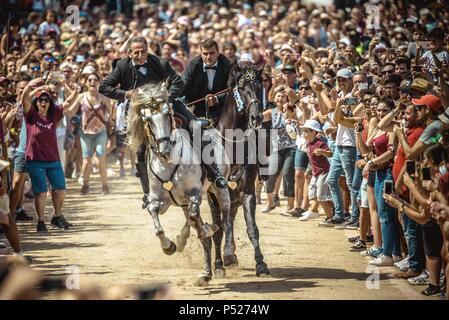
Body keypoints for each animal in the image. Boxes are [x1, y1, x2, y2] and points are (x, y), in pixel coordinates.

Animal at [127, 82, 229, 284]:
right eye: (148, 119)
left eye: (168, 115)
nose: (165, 149)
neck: (169, 163)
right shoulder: (159, 201)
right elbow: (157, 224)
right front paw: (169, 246)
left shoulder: (194, 194)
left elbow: (197, 219)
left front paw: (205, 230)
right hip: (182, 202)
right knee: (197, 225)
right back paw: (204, 271)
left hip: (220, 191)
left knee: (225, 222)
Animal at [207, 61, 270, 276]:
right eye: (241, 87)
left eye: (259, 86)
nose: (256, 117)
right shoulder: (216, 194)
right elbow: (218, 228)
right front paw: (220, 263)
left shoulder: (247, 191)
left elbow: (252, 228)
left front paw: (261, 263)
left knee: (231, 219)